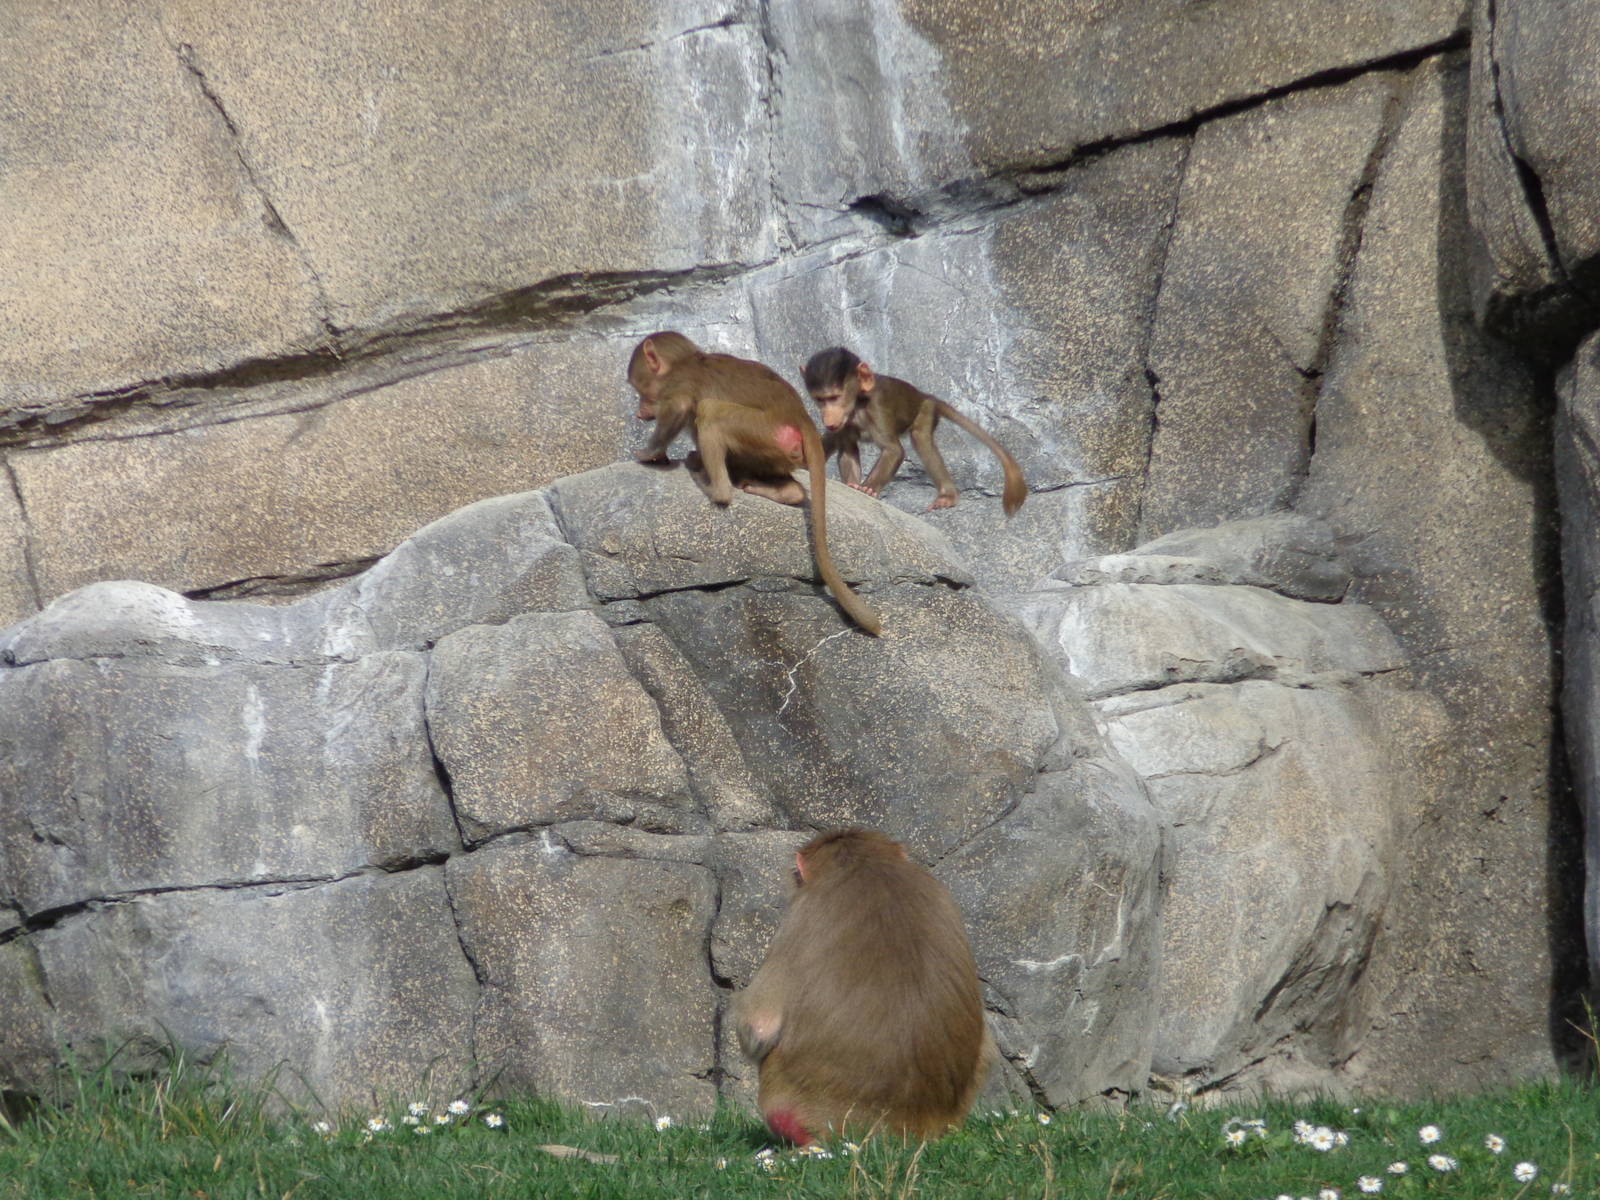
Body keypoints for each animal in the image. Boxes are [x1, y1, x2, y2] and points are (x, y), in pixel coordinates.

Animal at [628, 332, 882, 637]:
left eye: (639, 387)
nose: (640, 413)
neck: (687, 361)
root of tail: (800, 417)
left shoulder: (677, 385)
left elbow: (678, 409)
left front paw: (649, 453)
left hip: (760, 430)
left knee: (711, 411)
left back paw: (716, 488)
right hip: (777, 451)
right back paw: (782, 491)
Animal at [801, 347, 1028, 516]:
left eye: (834, 397)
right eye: (820, 400)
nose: (827, 417)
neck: (857, 405)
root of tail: (923, 395)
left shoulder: (876, 407)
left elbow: (894, 451)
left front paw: (868, 488)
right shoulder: (844, 424)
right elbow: (847, 451)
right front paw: (853, 486)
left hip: (926, 411)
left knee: (921, 439)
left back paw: (947, 496)